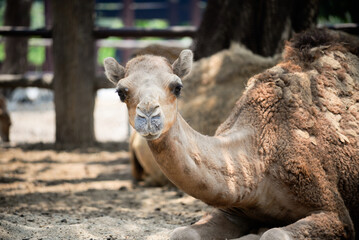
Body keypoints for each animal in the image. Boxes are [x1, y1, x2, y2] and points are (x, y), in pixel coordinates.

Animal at [105, 29, 359, 239]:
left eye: (177, 86)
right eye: (121, 91)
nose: (149, 116)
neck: (260, 158)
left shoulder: (332, 209)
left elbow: (276, 234)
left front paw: (261, 231)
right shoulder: (233, 208)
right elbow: (183, 233)